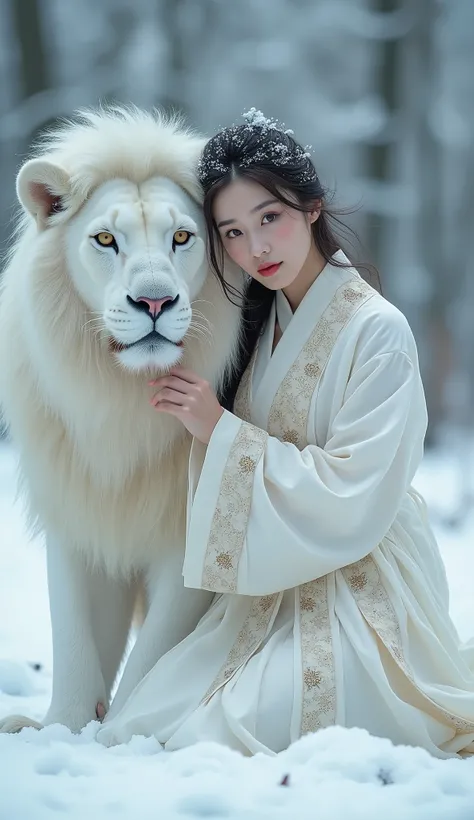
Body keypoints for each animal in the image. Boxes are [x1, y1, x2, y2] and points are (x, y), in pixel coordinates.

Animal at [0, 107, 243, 732]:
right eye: (106, 239)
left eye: (182, 237)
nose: (154, 302)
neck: (123, 407)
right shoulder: (79, 508)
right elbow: (75, 637)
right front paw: (61, 728)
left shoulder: (189, 533)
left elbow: (155, 653)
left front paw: (122, 733)